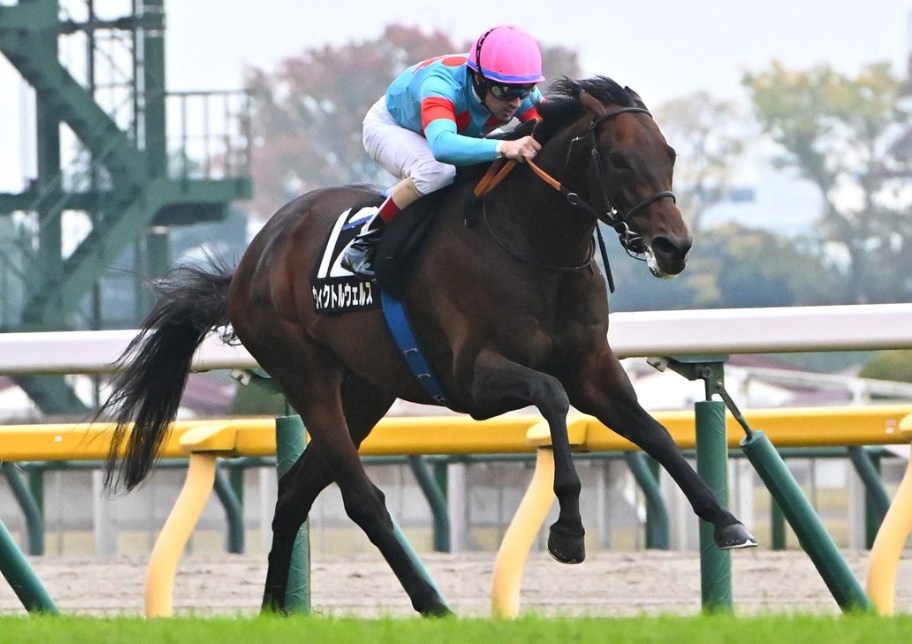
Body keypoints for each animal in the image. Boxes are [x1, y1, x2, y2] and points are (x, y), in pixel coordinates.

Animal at [98, 75, 757, 617]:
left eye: (668, 154)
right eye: (617, 158)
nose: (674, 247)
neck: (529, 245)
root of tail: (250, 261)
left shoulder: (593, 367)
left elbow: (655, 433)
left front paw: (726, 521)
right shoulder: (474, 379)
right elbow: (550, 398)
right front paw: (568, 533)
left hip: (366, 392)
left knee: (296, 491)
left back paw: (273, 610)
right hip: (306, 375)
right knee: (360, 498)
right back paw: (432, 602)